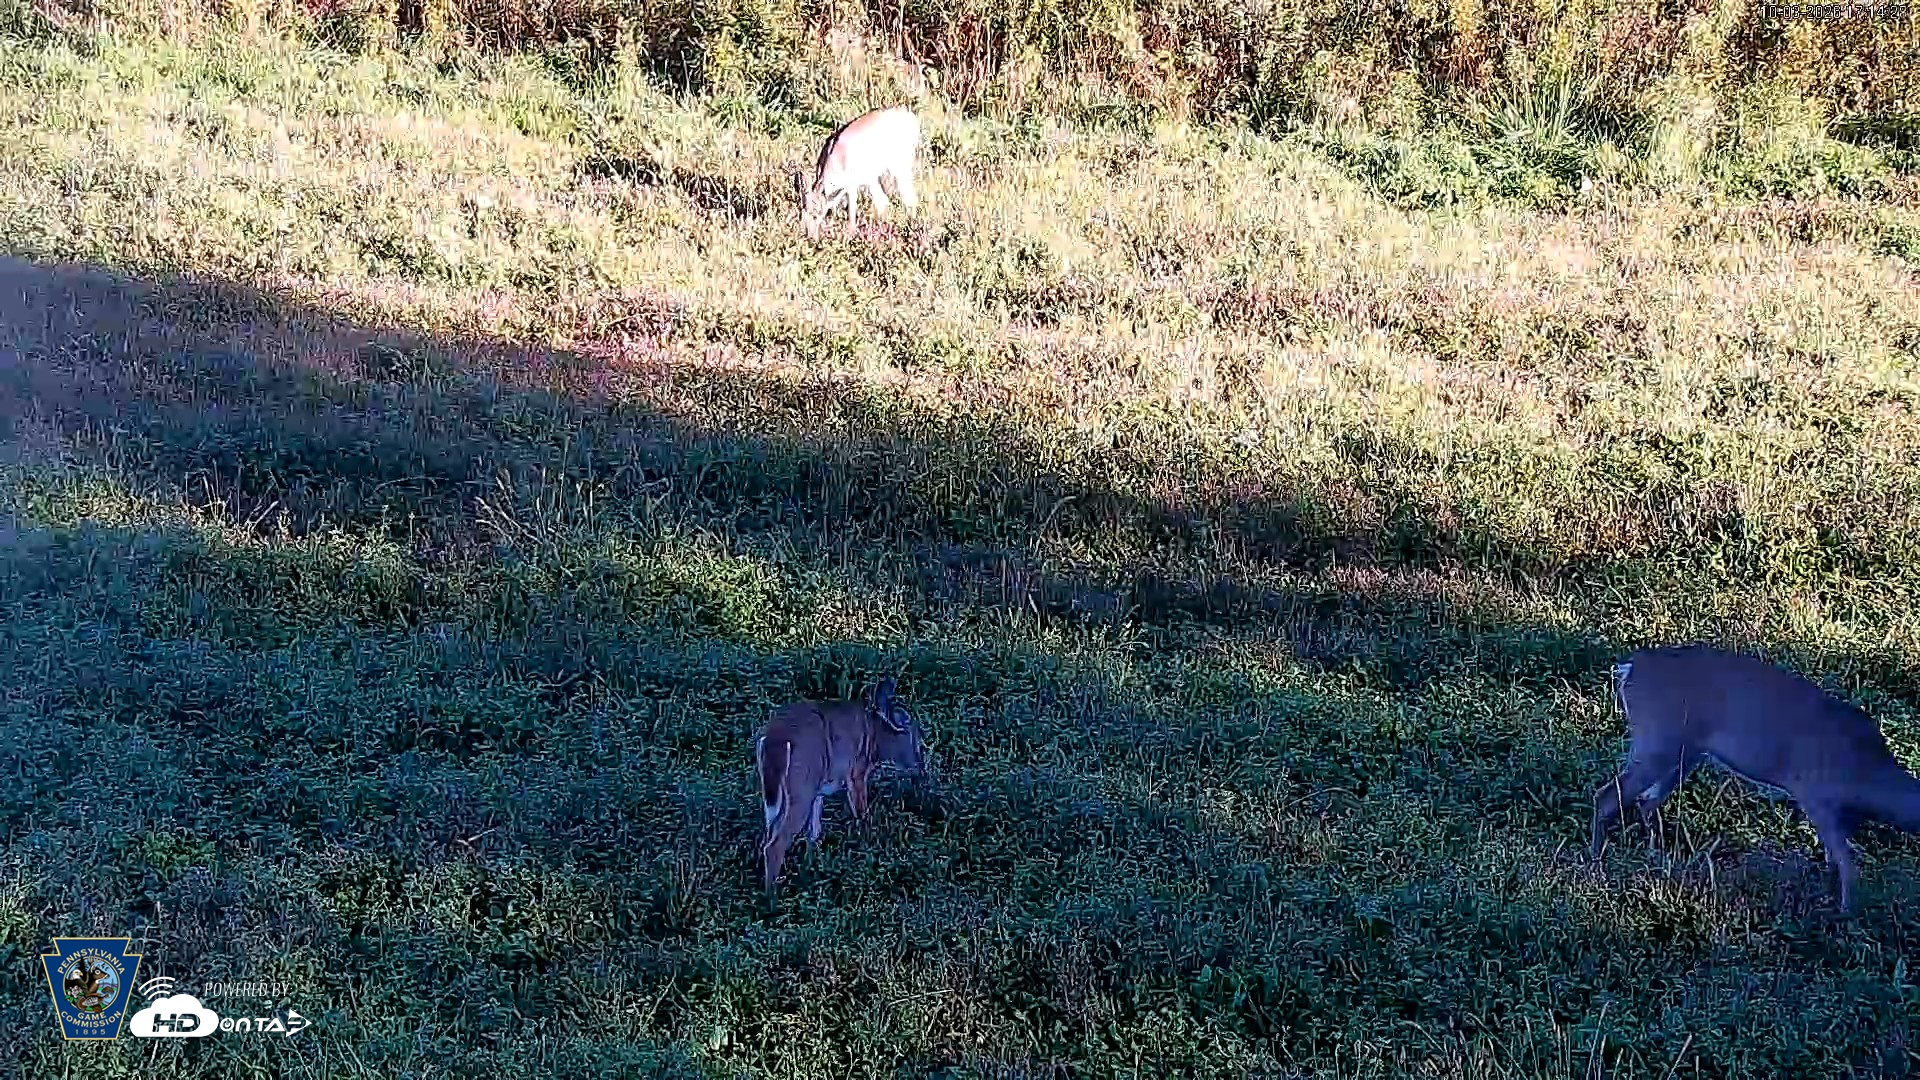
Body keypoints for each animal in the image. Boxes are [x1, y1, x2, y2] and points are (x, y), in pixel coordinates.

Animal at [755, 676, 932, 892]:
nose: (921, 768)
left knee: (770, 833)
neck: (874, 735)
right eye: (917, 741)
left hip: (781, 792)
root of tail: (775, 739)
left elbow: (814, 831)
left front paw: (813, 863)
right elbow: (861, 812)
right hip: (800, 788)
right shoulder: (856, 772)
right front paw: (868, 843)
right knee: (775, 845)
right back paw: (771, 894)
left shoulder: (818, 790)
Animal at [794, 105, 921, 241]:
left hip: (900, 168)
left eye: (815, 213)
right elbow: (881, 202)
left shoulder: (853, 185)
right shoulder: (867, 182)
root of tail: (910, 117)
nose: (810, 235)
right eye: (803, 211)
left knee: (910, 198)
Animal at [1590, 642, 1920, 915]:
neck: (1867, 772)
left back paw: (1655, 855)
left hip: (1684, 753)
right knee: (1607, 795)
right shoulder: (1814, 794)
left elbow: (1833, 857)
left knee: (1646, 800)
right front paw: (1846, 916)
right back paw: (1596, 864)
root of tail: (1629, 668)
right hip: (1658, 740)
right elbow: (1847, 862)